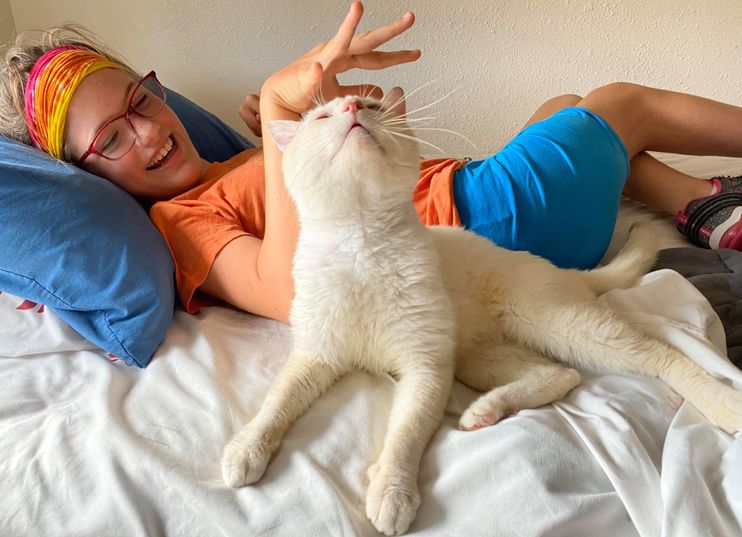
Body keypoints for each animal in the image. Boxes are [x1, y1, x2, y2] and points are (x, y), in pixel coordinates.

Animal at [222, 90, 742, 532]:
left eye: (372, 105)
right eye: (322, 117)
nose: (352, 106)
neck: (361, 243)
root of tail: (561, 270)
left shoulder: (426, 368)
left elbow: (405, 433)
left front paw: (391, 492)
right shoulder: (316, 356)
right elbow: (277, 403)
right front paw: (245, 449)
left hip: (559, 325)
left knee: (658, 357)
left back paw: (725, 404)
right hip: (476, 357)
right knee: (559, 374)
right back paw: (486, 411)